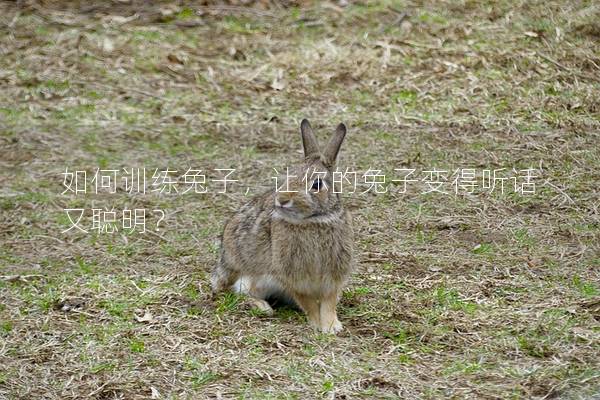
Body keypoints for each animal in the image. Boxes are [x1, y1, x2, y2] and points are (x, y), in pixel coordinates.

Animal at [211, 119, 354, 334]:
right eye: (287, 175)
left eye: (317, 184)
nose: (283, 200)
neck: (312, 221)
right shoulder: (291, 274)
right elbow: (308, 302)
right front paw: (317, 324)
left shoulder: (334, 273)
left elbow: (329, 301)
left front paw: (331, 326)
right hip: (251, 277)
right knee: (239, 291)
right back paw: (262, 307)